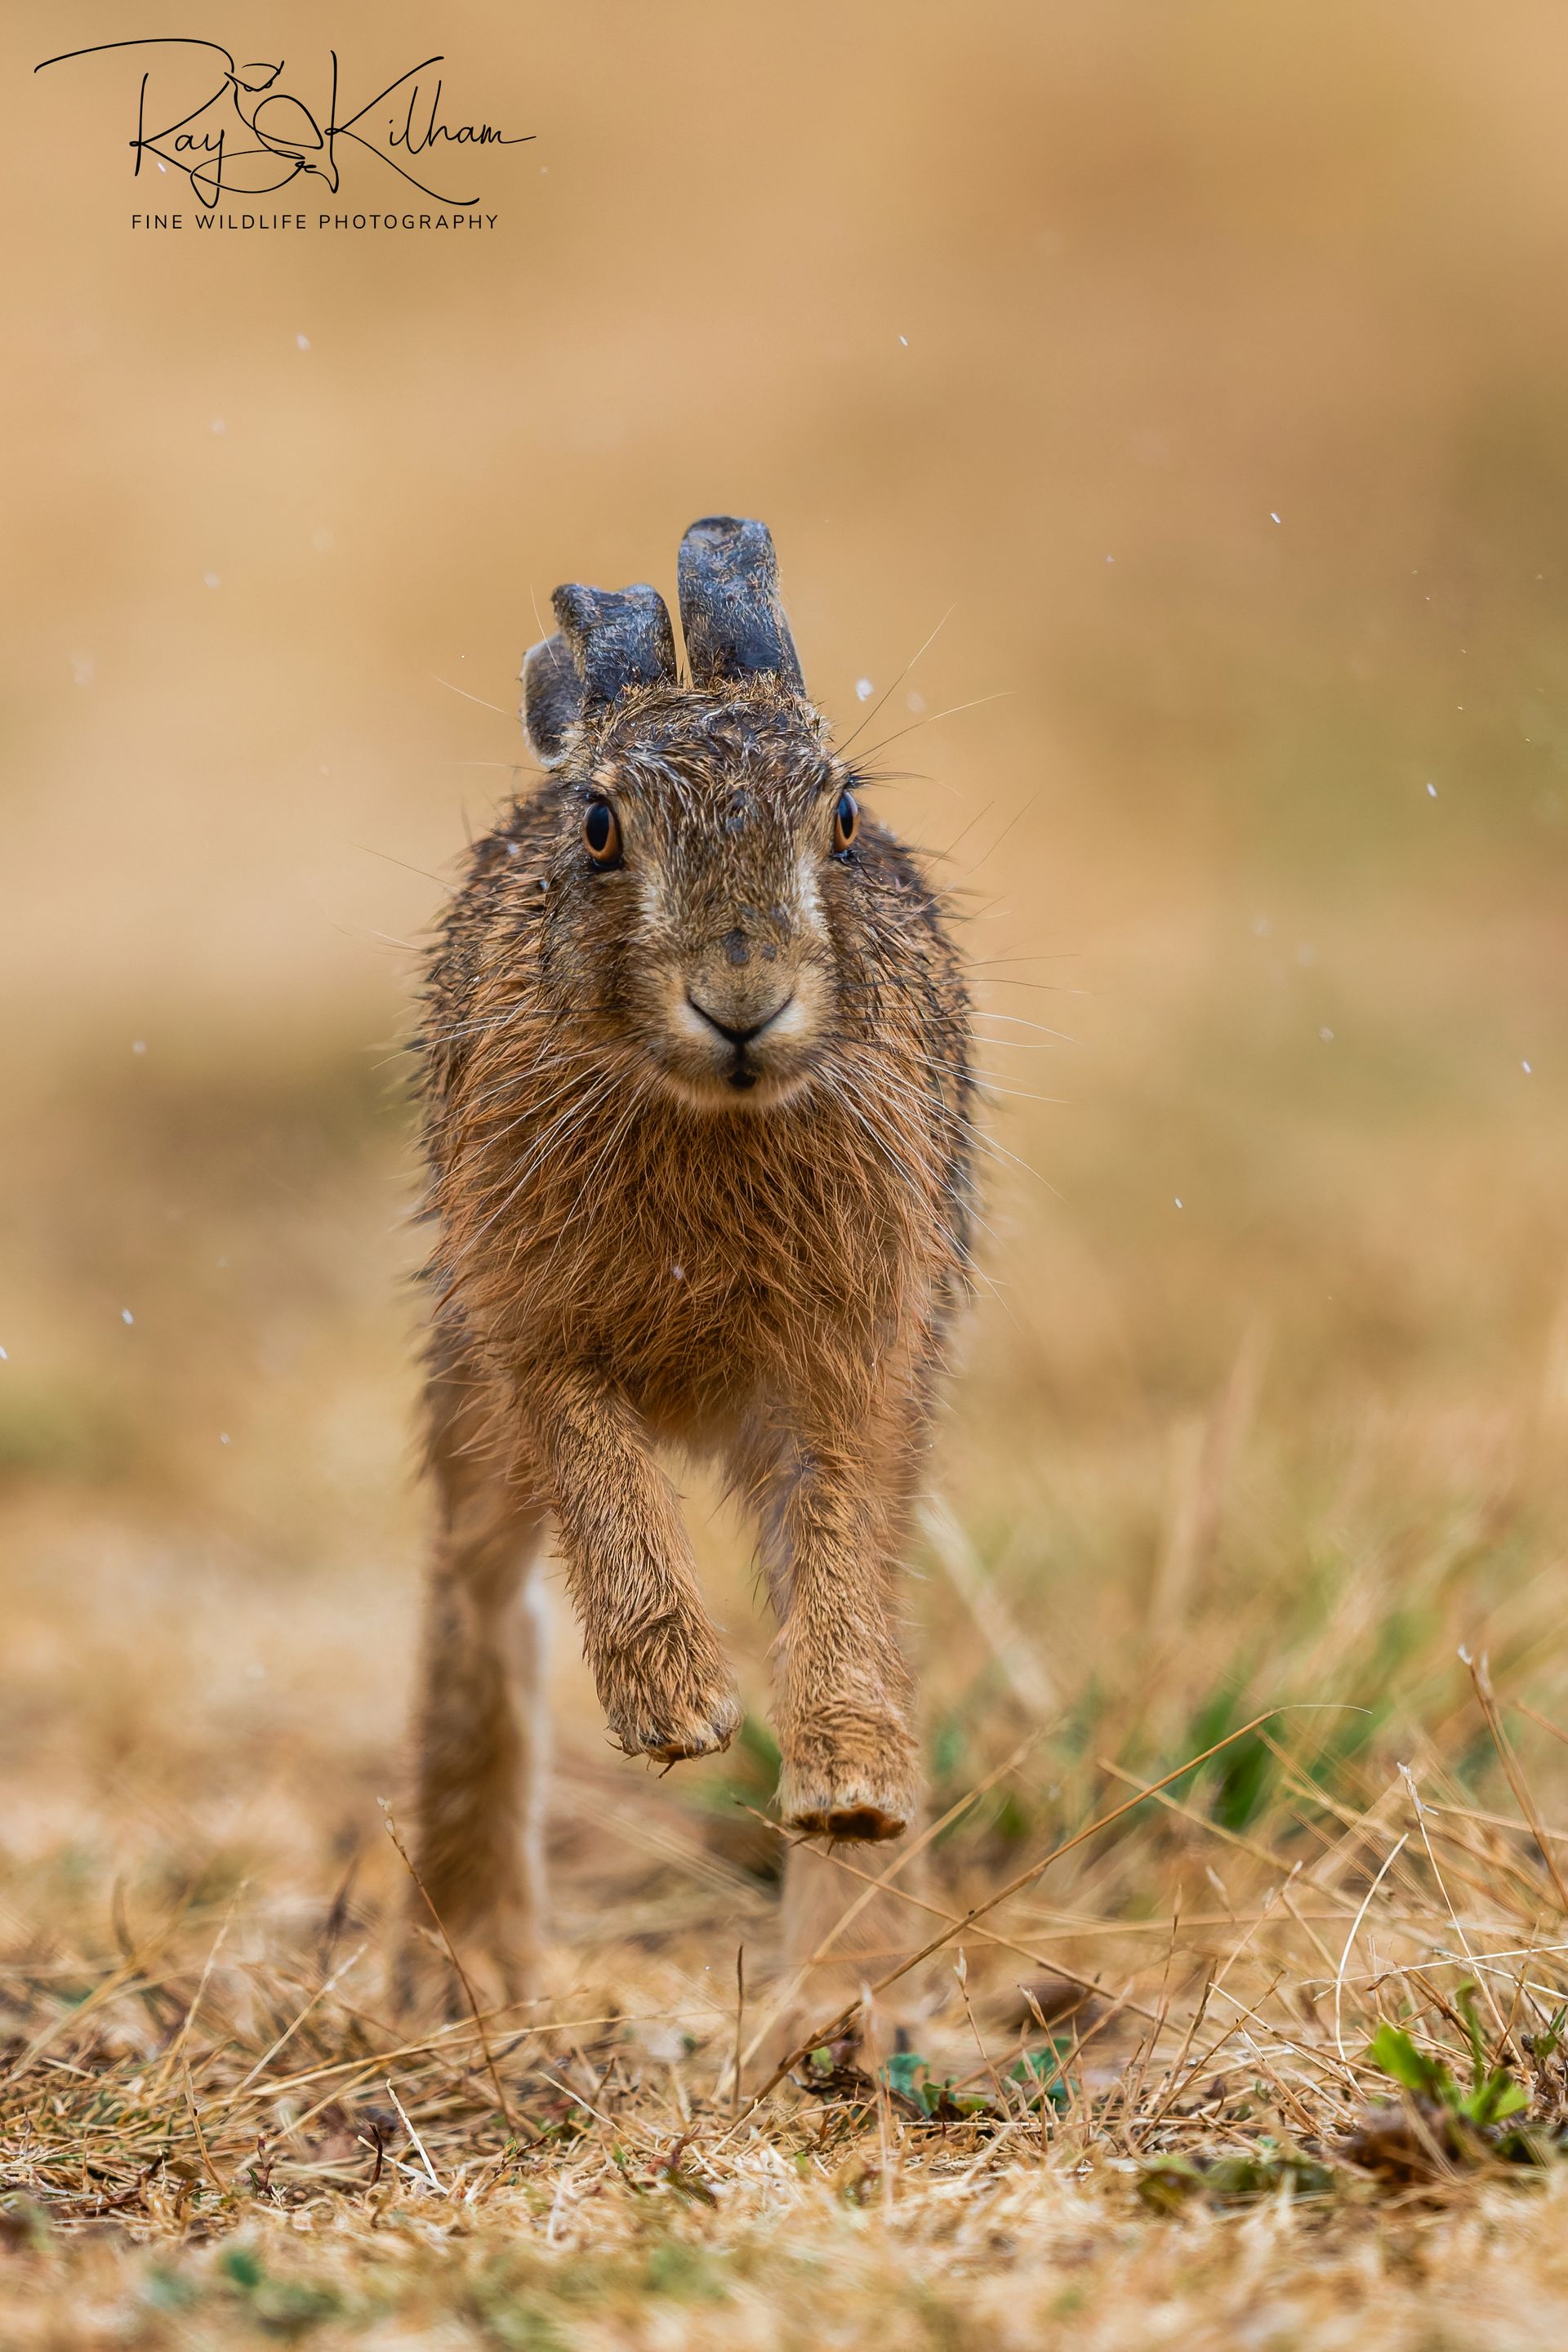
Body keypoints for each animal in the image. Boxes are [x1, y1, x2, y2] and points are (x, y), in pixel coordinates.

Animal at [405, 516, 975, 2002]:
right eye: (602, 829)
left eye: (842, 818)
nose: (742, 996)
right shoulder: (533, 1325)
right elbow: (607, 1491)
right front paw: (678, 1718)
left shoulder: (859, 1356)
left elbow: (837, 1554)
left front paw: (849, 1788)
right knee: (484, 1605)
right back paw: (473, 1961)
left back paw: (844, 1984)